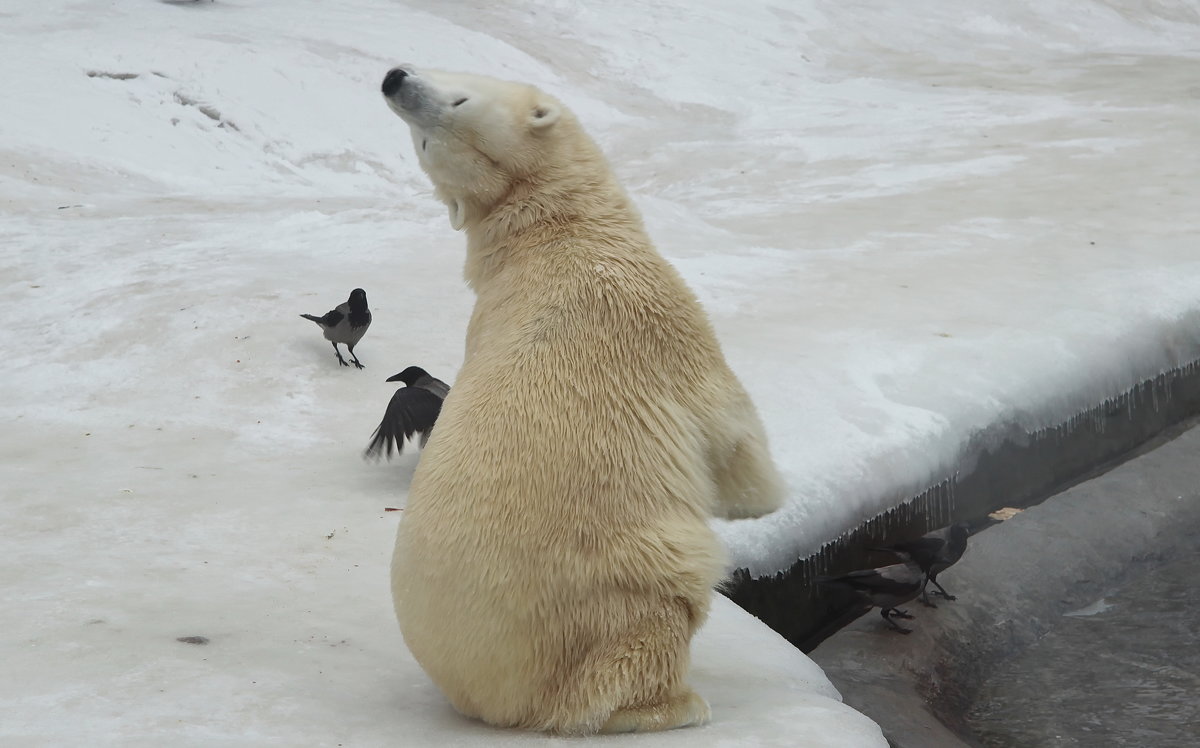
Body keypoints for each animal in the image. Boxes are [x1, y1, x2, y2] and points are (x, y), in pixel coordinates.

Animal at [379, 65, 782, 739]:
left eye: (453, 105)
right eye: (426, 139)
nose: (394, 79)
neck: (548, 230)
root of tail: (494, 697)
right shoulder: (657, 313)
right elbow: (729, 427)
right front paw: (762, 499)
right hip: (610, 591)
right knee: (640, 635)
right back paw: (674, 704)